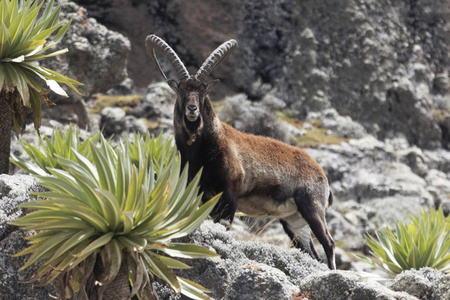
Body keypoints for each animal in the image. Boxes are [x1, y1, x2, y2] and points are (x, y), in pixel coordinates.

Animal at [146, 35, 336, 270]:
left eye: (203, 92)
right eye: (181, 90)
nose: (192, 110)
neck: (205, 150)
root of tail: (321, 173)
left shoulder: (230, 194)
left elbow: (225, 227)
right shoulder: (203, 194)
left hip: (312, 207)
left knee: (329, 243)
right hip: (293, 221)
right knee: (311, 253)